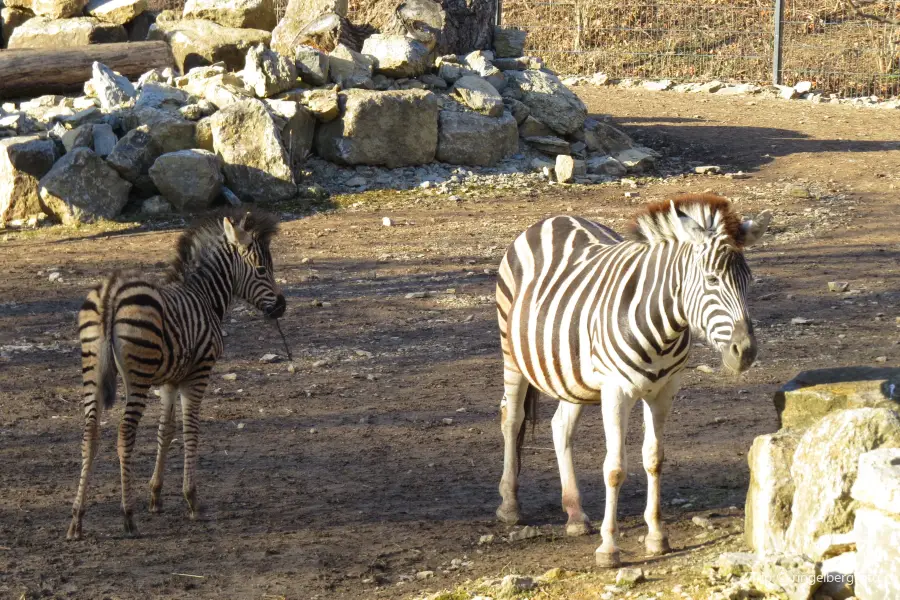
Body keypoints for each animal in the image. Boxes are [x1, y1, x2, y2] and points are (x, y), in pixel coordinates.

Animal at [67, 210, 284, 540]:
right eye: (262, 269)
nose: (282, 307)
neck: (204, 297)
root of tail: (111, 292)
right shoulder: (197, 373)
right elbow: (190, 429)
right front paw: (192, 499)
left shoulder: (169, 381)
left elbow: (165, 431)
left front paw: (155, 496)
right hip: (138, 377)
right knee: (125, 433)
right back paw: (128, 517)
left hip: (92, 371)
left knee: (89, 433)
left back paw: (77, 519)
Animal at [496, 195, 768, 564]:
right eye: (712, 280)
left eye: (748, 282)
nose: (746, 351)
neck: (664, 325)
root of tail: (554, 217)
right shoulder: (616, 390)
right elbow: (615, 468)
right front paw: (609, 547)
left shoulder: (665, 391)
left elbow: (654, 459)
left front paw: (657, 536)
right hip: (511, 352)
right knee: (512, 418)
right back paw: (510, 505)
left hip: (570, 371)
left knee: (560, 427)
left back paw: (575, 513)